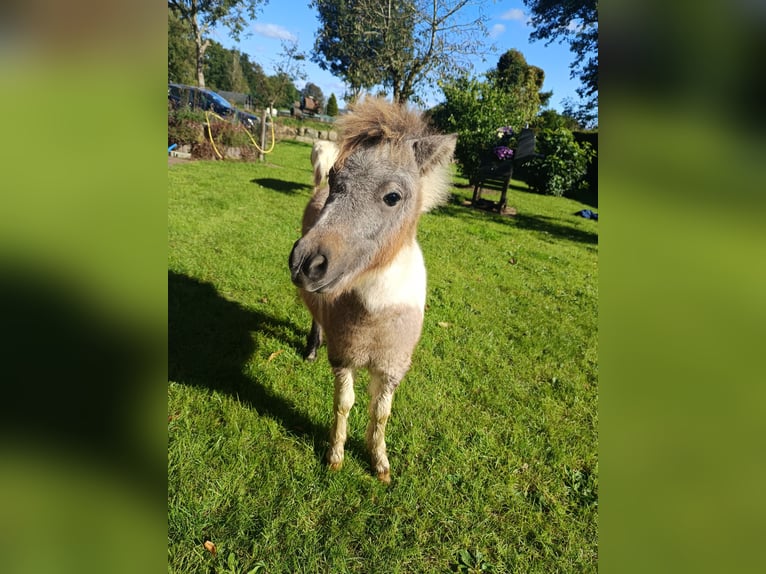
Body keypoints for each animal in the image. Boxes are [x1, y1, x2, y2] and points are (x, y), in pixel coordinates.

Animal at [288, 97, 456, 484]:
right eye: (334, 179)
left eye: (393, 197)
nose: (305, 262)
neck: (376, 312)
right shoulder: (344, 357)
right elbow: (343, 404)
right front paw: (335, 456)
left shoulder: (392, 367)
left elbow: (381, 413)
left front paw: (380, 463)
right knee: (316, 318)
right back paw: (311, 349)